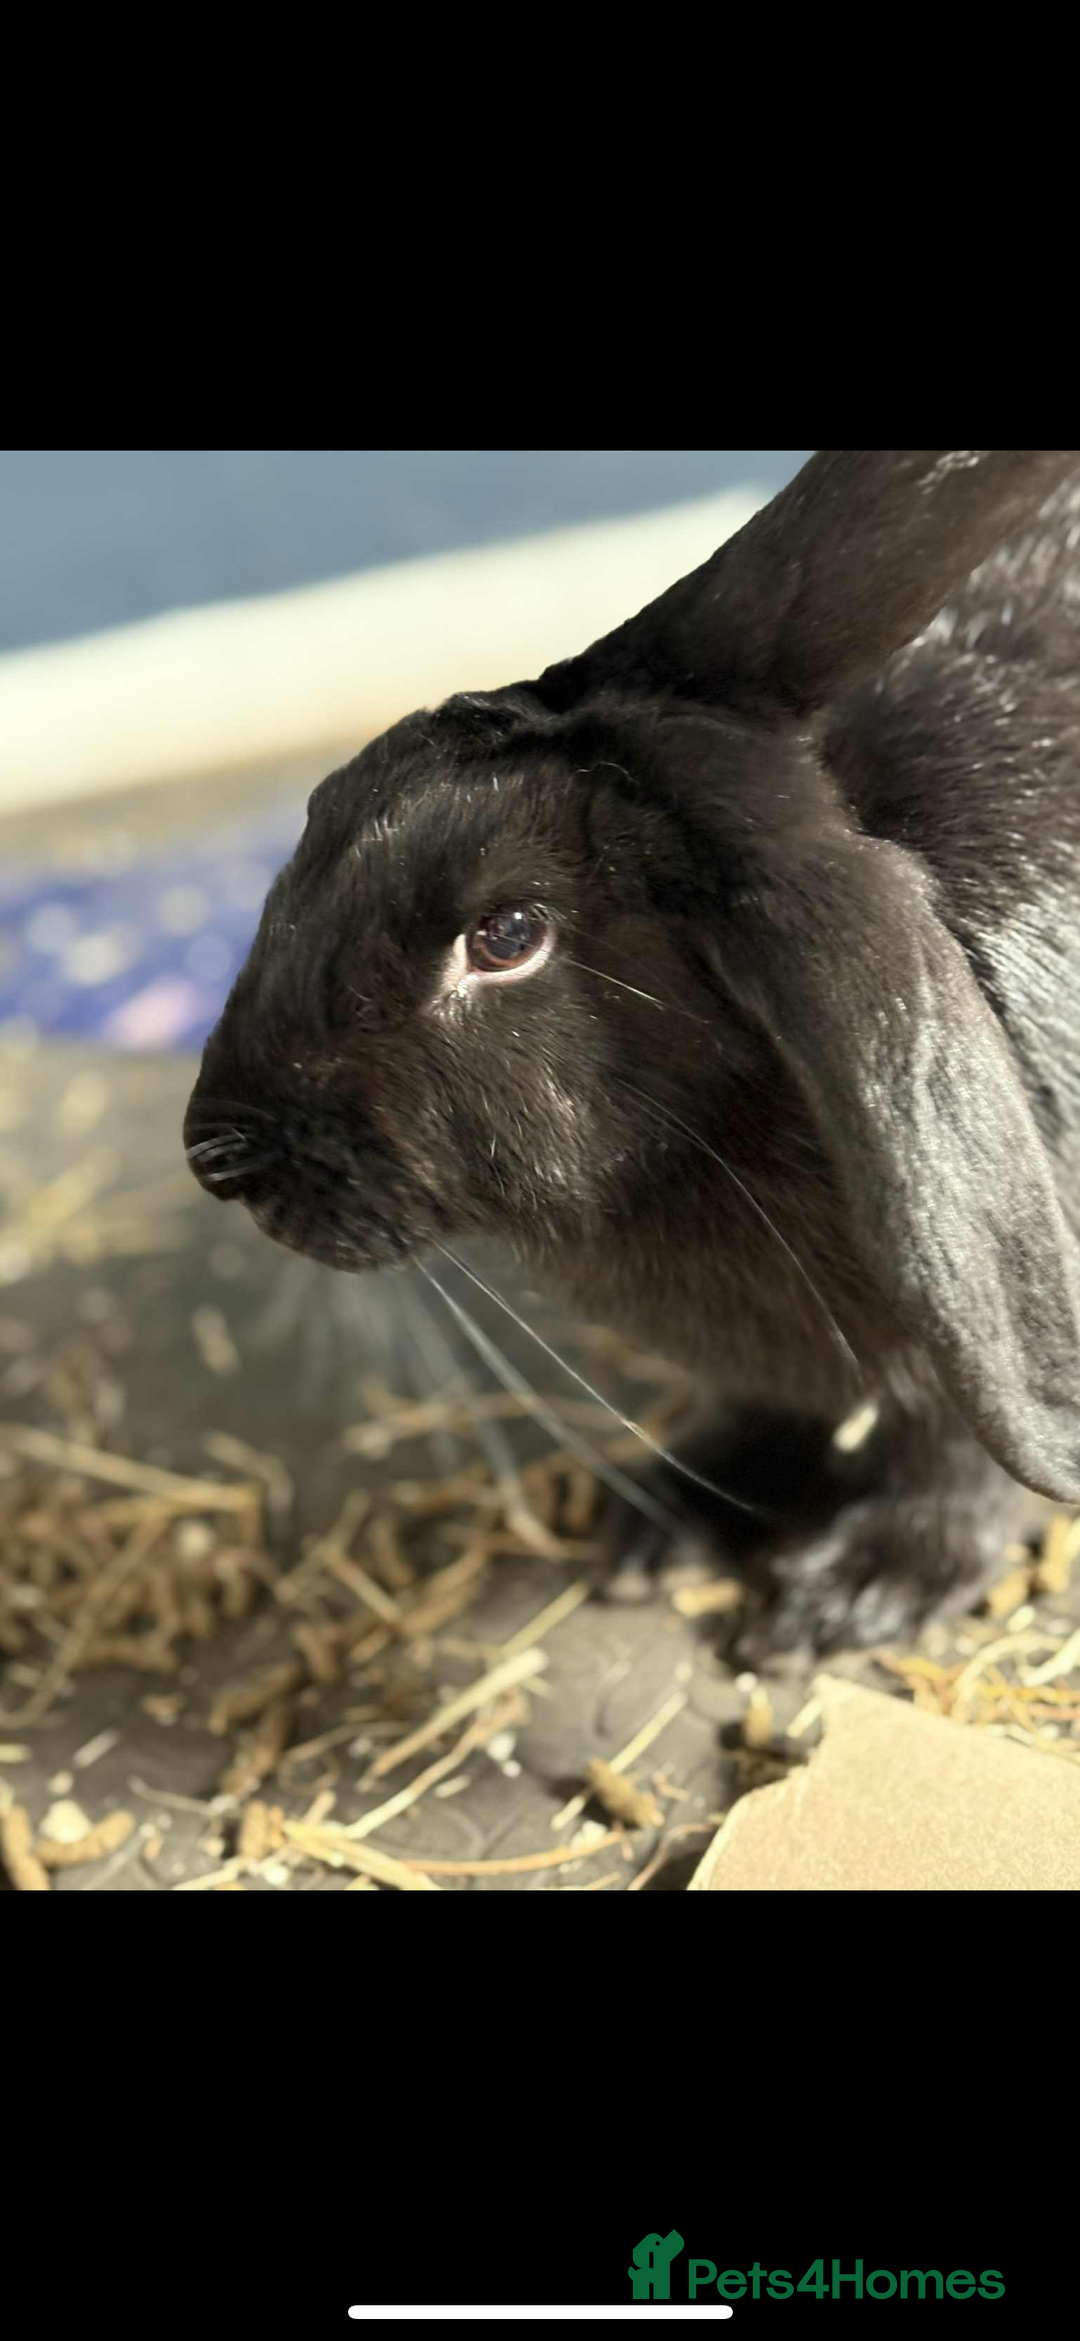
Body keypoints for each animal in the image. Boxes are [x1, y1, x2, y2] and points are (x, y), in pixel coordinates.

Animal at [184, 449, 1080, 1656]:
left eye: (507, 935)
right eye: (325, 803)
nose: (213, 1154)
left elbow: (962, 1461)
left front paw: (849, 1598)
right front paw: (665, 1522)